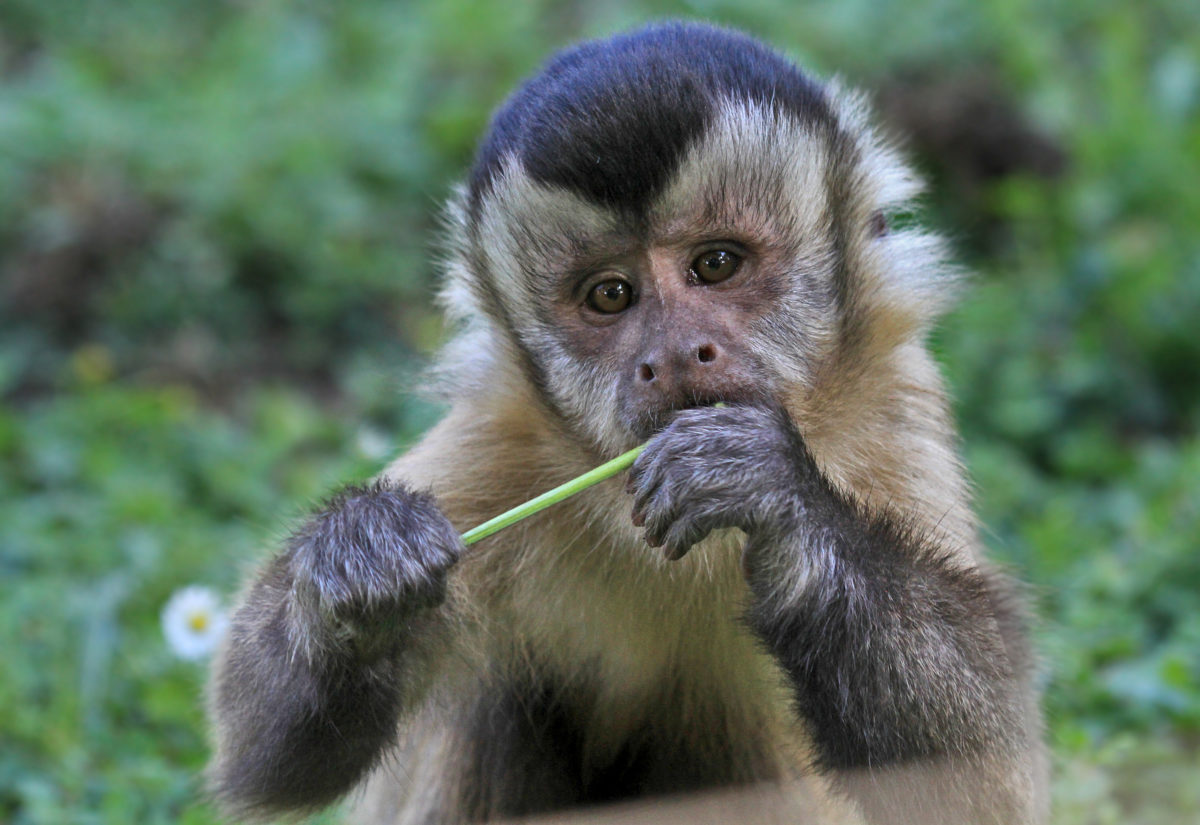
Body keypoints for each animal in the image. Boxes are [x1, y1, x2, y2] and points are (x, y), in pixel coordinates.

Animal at [211, 20, 1046, 825]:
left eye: (716, 264)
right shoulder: (505, 438)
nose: (674, 354)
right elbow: (265, 757)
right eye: (610, 295)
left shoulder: (890, 397)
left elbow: (985, 778)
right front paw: (358, 559)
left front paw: (773, 495)